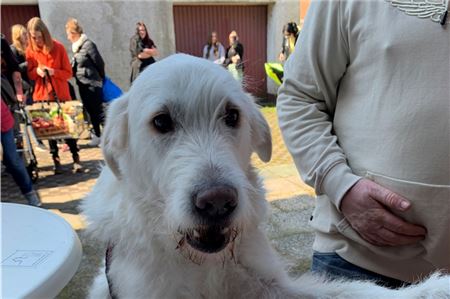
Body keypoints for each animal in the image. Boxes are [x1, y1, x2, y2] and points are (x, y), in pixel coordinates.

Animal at [81, 54, 450, 299]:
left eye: (232, 116)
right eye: (161, 121)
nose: (217, 203)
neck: (205, 263)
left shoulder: (272, 286)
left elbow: (354, 291)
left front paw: (432, 289)